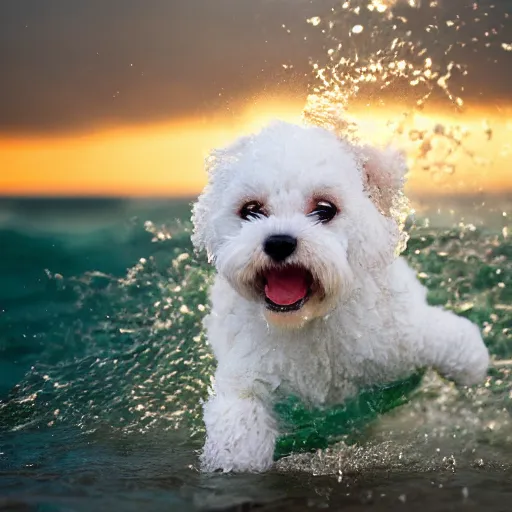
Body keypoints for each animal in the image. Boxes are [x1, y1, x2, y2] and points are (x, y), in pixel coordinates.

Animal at [190, 120, 490, 472]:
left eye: (324, 209)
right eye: (251, 210)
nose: (279, 242)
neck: (314, 322)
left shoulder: (399, 338)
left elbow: (453, 343)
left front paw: (473, 368)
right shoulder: (249, 369)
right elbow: (238, 417)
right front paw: (233, 460)